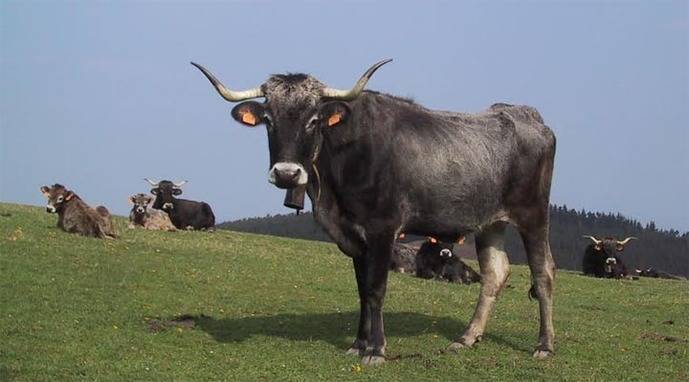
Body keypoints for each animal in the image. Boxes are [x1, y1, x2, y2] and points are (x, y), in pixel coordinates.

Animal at [191, 58, 556, 362]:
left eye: (313, 120)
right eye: (268, 120)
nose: (287, 174)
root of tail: (527, 115)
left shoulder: (383, 229)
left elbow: (377, 289)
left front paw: (377, 350)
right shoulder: (355, 236)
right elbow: (362, 291)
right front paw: (358, 344)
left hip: (533, 215)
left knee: (543, 273)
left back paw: (544, 345)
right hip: (490, 223)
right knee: (495, 274)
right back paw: (466, 338)